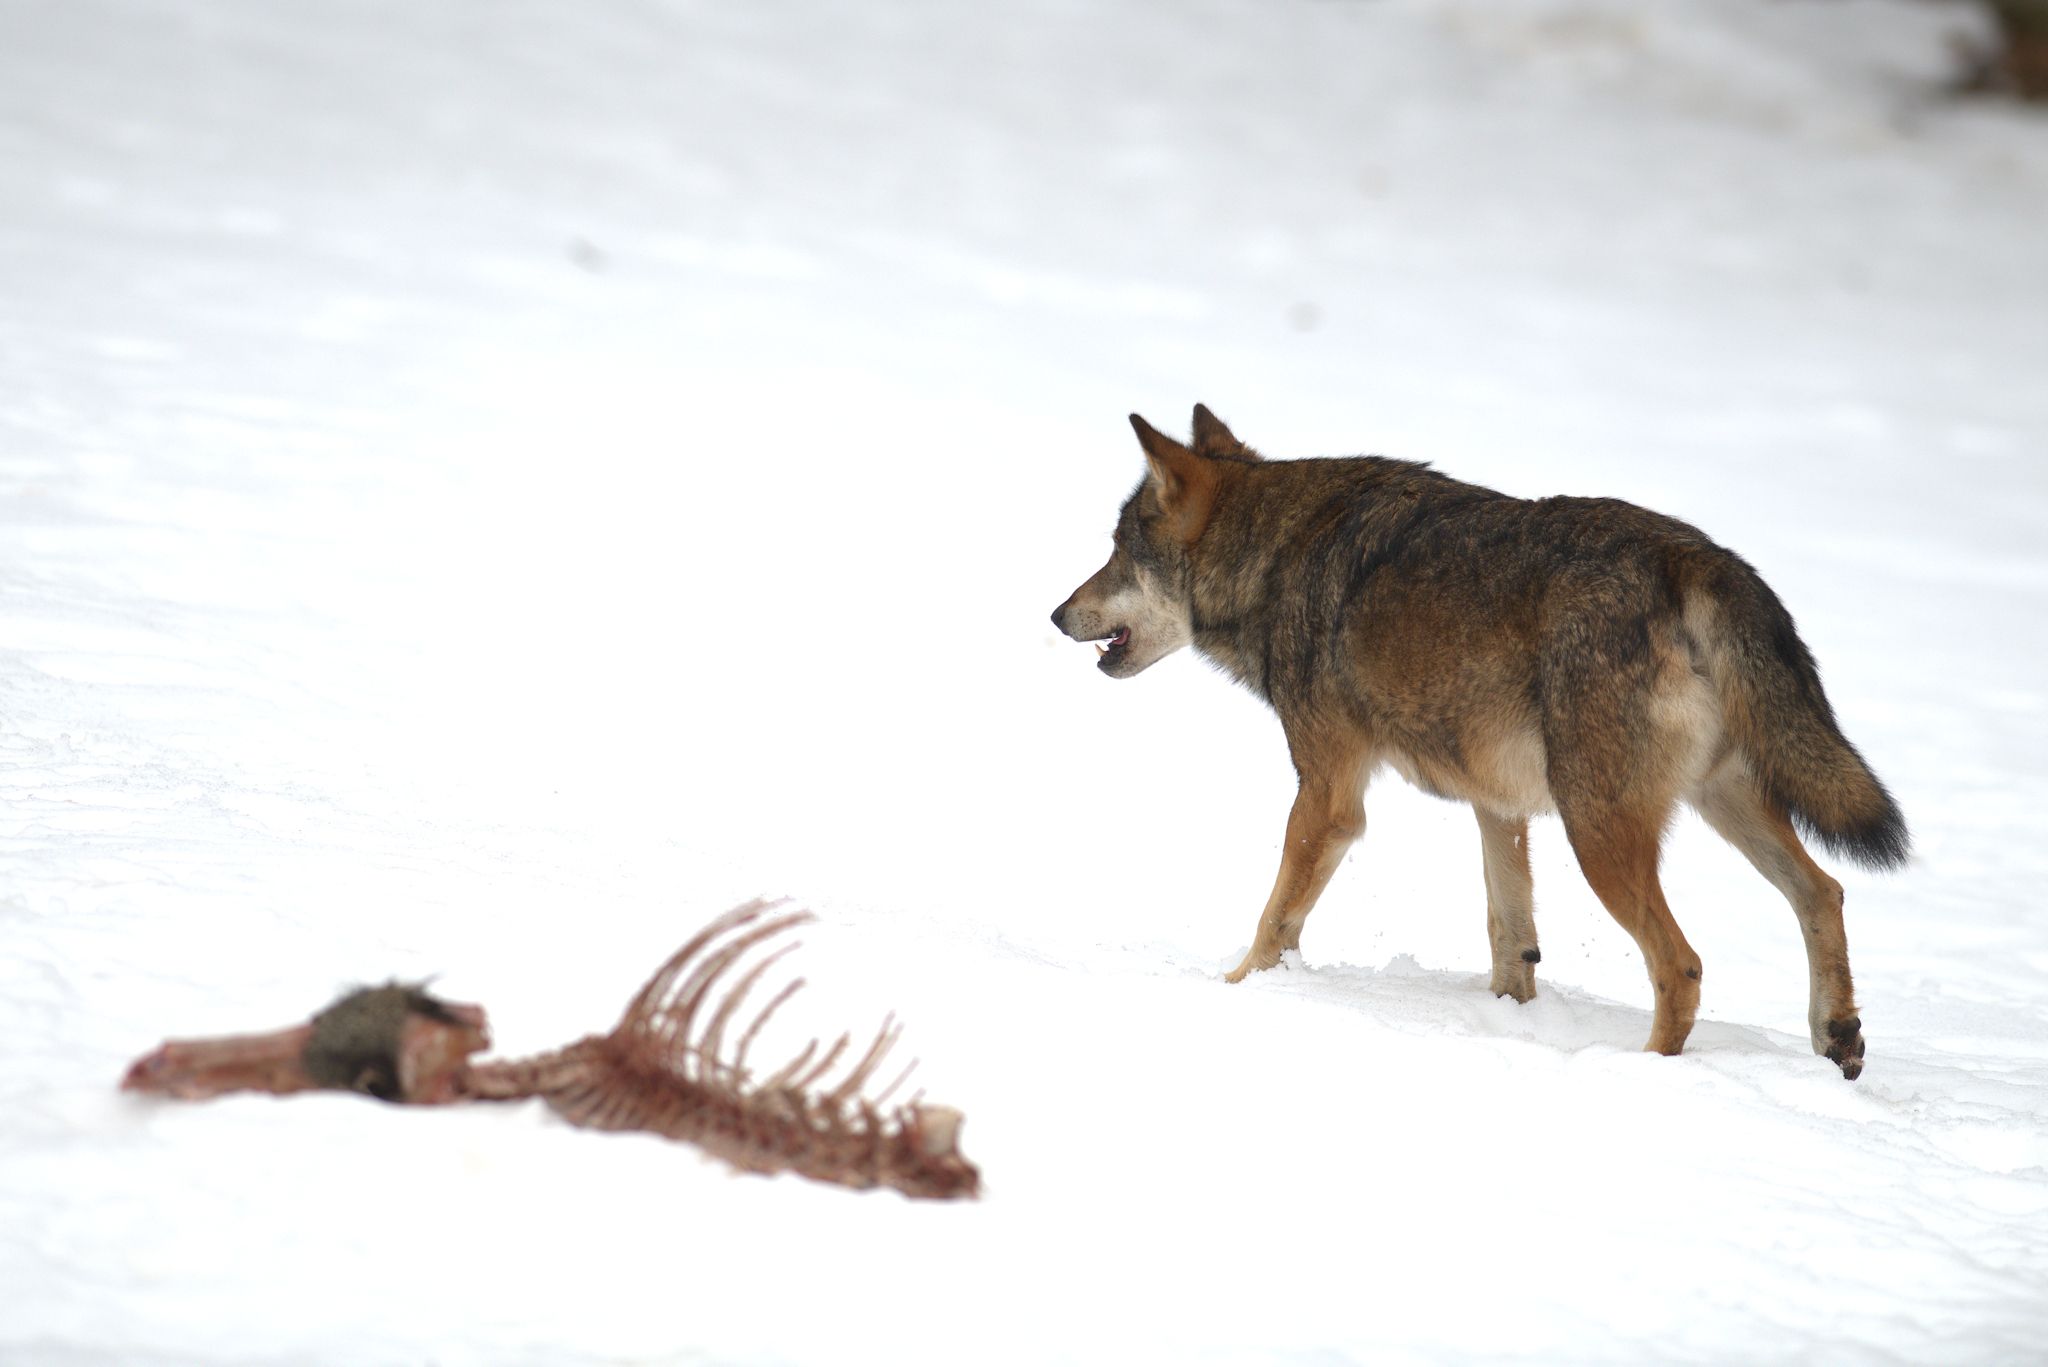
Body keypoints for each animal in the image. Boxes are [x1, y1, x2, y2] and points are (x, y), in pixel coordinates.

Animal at [1051, 405, 1907, 1078]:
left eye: (1119, 552)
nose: (1057, 614)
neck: (1276, 556)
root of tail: (1698, 557)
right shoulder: (1498, 806)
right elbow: (1510, 936)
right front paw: (1507, 1018)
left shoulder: (1329, 799)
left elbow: (1274, 923)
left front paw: (1233, 994)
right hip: (1719, 802)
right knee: (1823, 890)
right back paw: (1838, 1038)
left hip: (1600, 832)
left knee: (1683, 964)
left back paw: (1642, 1072)